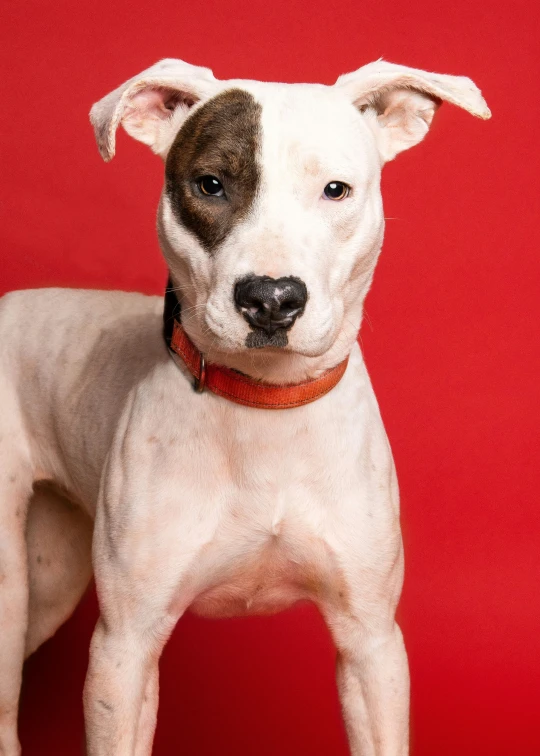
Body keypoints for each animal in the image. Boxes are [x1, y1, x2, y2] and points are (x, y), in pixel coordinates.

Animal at [0, 59, 490, 756]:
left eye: (335, 190)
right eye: (211, 184)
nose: (271, 298)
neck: (263, 405)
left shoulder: (371, 643)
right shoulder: (125, 649)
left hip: (52, 575)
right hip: (12, 592)